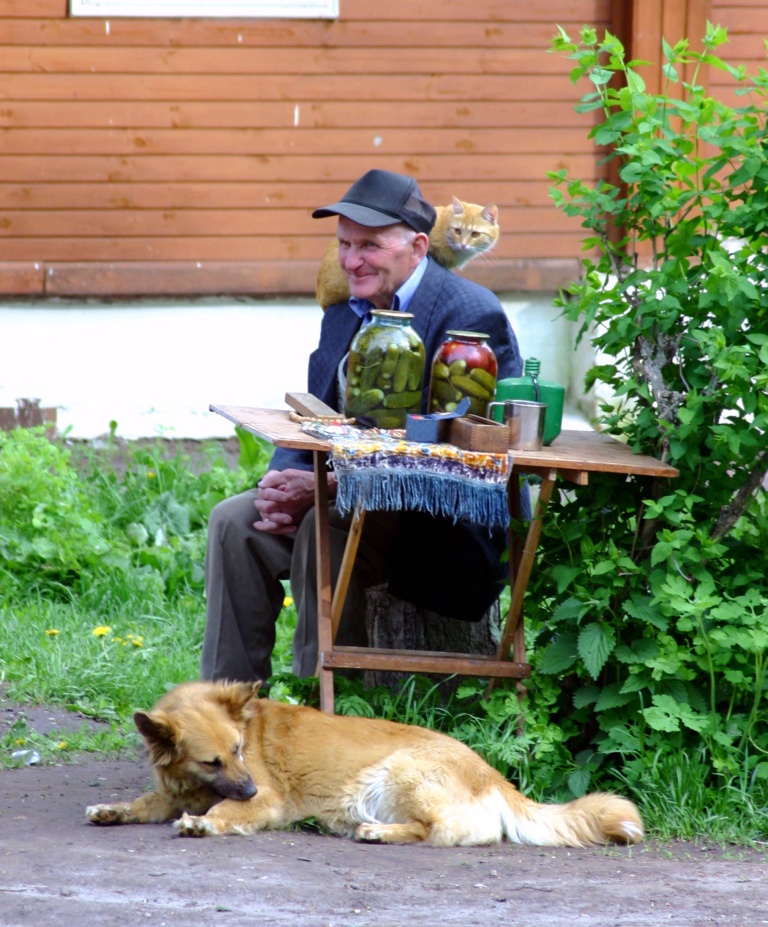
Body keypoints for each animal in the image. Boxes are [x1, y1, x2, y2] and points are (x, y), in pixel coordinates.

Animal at [87, 676, 644, 844]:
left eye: (240, 750)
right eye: (212, 762)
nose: (249, 788)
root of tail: (492, 773)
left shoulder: (265, 800)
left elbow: (222, 812)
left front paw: (203, 823)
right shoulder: (177, 789)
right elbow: (145, 802)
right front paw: (113, 810)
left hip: (398, 772)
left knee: (448, 831)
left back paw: (377, 832)